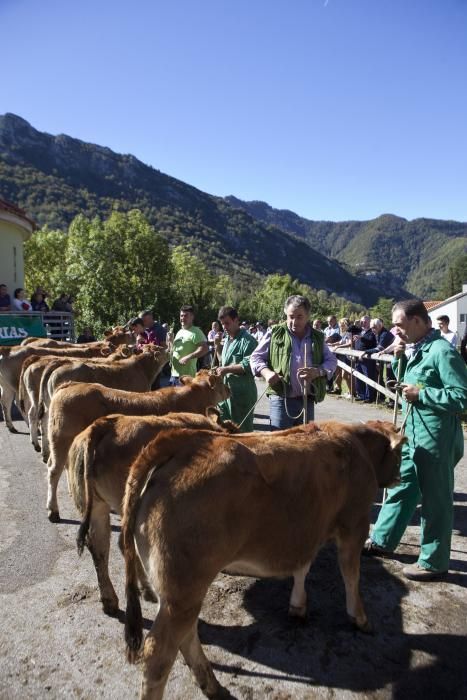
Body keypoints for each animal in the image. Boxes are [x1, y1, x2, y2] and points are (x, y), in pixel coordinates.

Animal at [44, 372, 231, 520]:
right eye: (220, 380)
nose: (229, 390)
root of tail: (71, 385)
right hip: (61, 441)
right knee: (54, 472)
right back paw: (53, 511)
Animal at [67, 412, 236, 616]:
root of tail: (104, 423)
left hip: (95, 507)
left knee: (99, 547)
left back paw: (110, 601)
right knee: (124, 544)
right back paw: (146, 590)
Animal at [119, 422, 406, 700]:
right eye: (401, 452)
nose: (400, 477)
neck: (357, 445)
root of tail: (188, 441)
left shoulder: (305, 532)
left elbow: (303, 568)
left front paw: (298, 606)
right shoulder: (354, 525)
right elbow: (351, 575)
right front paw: (360, 618)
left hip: (176, 592)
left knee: (187, 635)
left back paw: (211, 685)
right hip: (183, 590)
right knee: (159, 654)